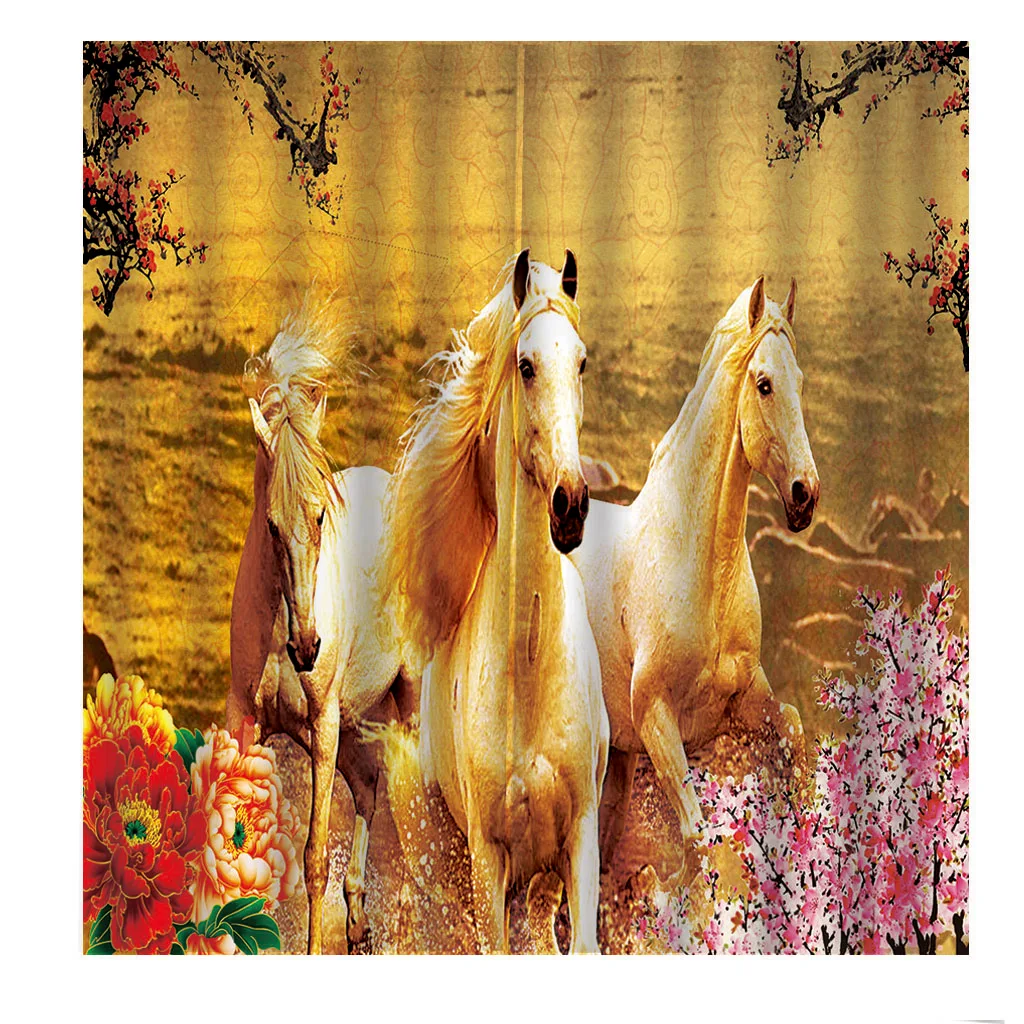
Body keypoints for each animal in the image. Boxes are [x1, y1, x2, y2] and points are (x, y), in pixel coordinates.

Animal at [228, 300, 419, 953]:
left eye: (319, 515)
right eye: (269, 525)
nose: (307, 647)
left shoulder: (323, 722)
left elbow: (312, 858)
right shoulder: (249, 722)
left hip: (400, 703)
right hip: (354, 723)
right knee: (368, 788)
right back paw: (358, 920)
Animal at [382, 249, 609, 953]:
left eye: (581, 361)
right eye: (525, 365)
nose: (571, 505)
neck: (530, 667)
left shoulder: (578, 839)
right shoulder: (488, 857)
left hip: (539, 885)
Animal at [569, 277, 819, 872]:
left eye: (800, 381)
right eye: (764, 384)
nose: (806, 494)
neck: (704, 571)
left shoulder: (742, 703)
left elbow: (793, 727)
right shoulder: (658, 720)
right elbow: (695, 831)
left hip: (616, 760)